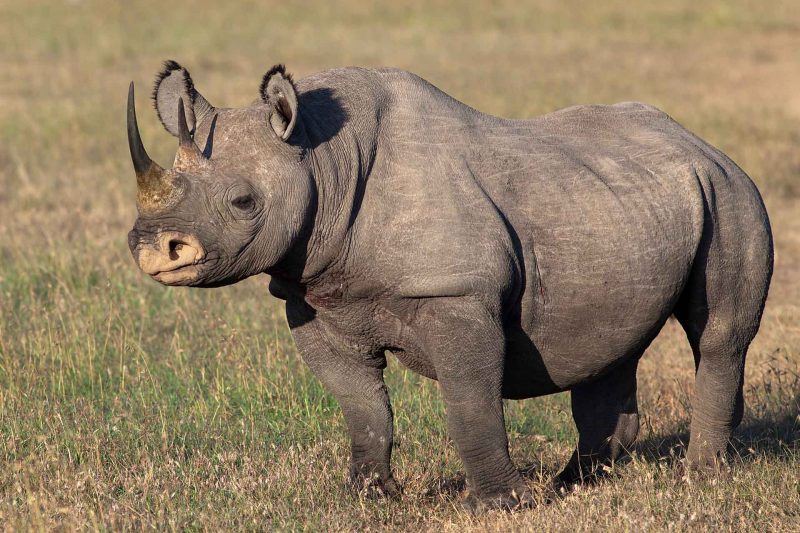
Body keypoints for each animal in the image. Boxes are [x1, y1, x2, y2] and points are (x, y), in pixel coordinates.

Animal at [126, 60, 773, 509]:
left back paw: (699, 479)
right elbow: (361, 403)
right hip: (622, 204)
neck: (321, 158)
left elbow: (469, 400)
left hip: (729, 192)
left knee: (719, 336)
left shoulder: (454, 293)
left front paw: (503, 505)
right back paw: (575, 485)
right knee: (607, 344)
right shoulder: (312, 297)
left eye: (243, 202)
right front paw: (372, 496)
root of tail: (700, 142)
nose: (156, 248)